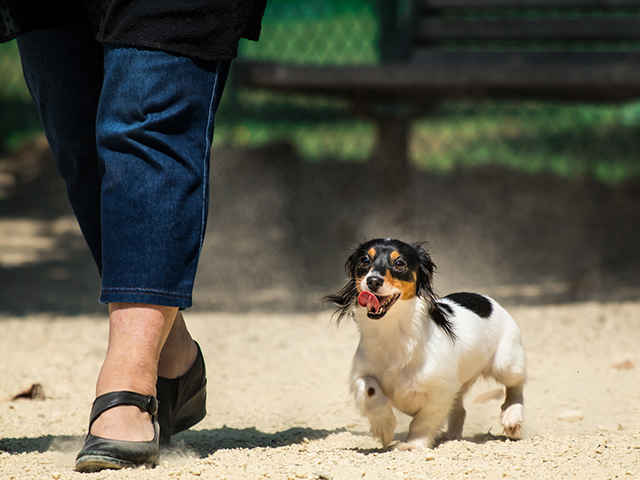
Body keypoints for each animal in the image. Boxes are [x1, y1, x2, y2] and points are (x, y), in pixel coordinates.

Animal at [324, 239, 524, 450]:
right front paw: (384, 427)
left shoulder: (440, 391)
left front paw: (413, 445)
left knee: (516, 387)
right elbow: (370, 389)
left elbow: (424, 420)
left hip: (506, 363)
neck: (393, 333)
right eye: (364, 260)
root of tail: (484, 298)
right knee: (460, 410)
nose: (373, 281)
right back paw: (451, 437)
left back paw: (512, 418)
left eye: (400, 263)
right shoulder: (360, 375)